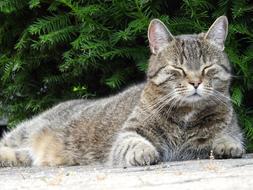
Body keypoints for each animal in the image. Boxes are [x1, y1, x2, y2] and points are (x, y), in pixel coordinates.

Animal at [0, 16, 245, 168]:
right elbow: (133, 142)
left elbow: (228, 137)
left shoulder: (225, 132)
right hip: (25, 132)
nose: (195, 82)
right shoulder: (129, 132)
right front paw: (143, 152)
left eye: (207, 68)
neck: (186, 115)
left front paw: (228, 145)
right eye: (178, 69)